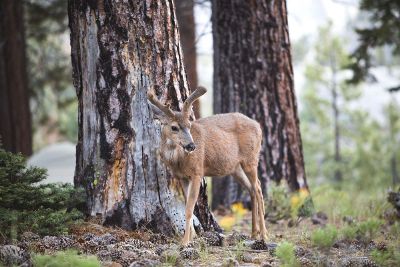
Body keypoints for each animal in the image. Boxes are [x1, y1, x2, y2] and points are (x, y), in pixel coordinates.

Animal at [148, 87, 268, 246]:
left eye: (189, 125)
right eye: (174, 127)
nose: (191, 146)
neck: (179, 160)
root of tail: (258, 126)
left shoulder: (197, 172)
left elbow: (189, 208)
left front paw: (185, 241)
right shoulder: (182, 177)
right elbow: (188, 206)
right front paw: (192, 237)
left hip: (251, 159)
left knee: (258, 187)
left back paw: (264, 235)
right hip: (235, 168)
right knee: (251, 188)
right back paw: (254, 233)